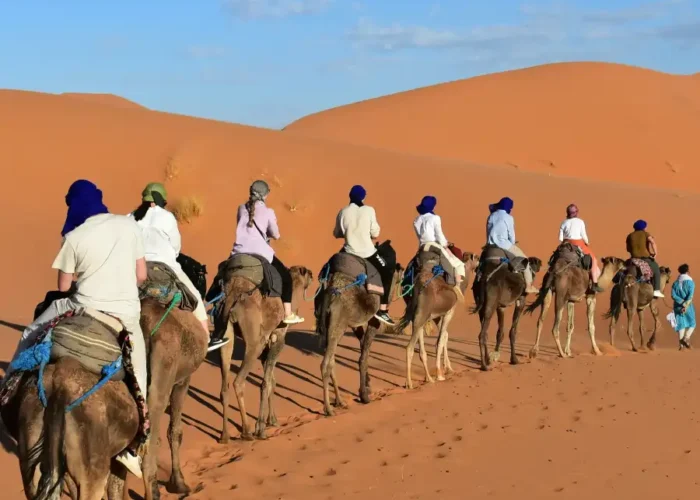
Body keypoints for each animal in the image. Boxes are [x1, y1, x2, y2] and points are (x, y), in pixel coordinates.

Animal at [1, 298, 209, 500]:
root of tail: (58, 390)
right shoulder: (182, 381)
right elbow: (175, 432)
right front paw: (179, 484)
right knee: (148, 456)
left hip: (33, 443)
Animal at [215, 265, 312, 443]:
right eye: (307, 273)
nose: (314, 274)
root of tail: (232, 301)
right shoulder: (278, 339)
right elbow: (265, 383)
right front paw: (261, 428)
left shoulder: (267, 345)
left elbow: (272, 381)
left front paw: (272, 420)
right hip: (254, 341)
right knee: (238, 382)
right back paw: (247, 431)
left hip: (224, 331)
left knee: (225, 386)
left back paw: (224, 436)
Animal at [315, 260, 403, 417]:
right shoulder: (373, 320)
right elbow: (363, 356)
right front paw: (364, 396)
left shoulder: (354, 325)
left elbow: (363, 348)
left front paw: (367, 386)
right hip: (338, 323)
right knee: (326, 364)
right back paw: (329, 409)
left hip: (330, 324)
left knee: (331, 361)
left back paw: (340, 401)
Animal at [400, 251, 479, 389]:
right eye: (478, 258)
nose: (480, 264)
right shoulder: (449, 312)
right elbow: (440, 340)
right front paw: (440, 374)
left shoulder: (436, 316)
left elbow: (445, 336)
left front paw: (447, 368)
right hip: (422, 314)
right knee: (409, 348)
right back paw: (410, 383)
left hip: (418, 315)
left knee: (420, 349)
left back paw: (427, 379)